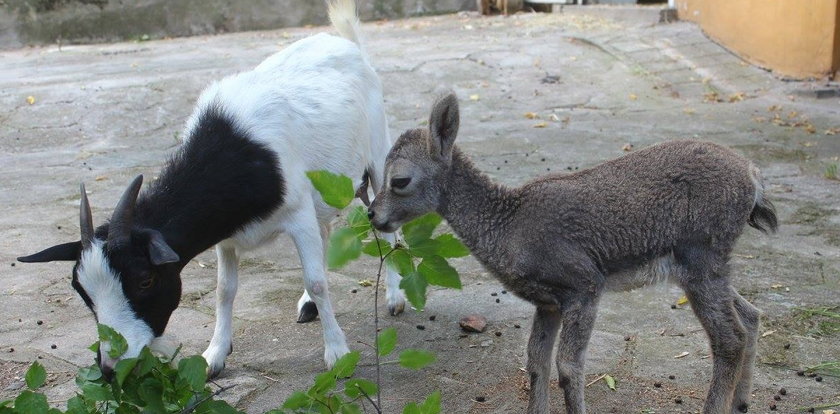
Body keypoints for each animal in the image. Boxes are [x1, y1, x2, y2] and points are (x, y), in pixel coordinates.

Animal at [15, 0, 404, 378]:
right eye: (82, 292)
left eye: (144, 280)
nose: (111, 368)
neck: (234, 151)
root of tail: (346, 43)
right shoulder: (227, 236)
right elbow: (224, 291)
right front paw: (215, 355)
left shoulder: (297, 214)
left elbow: (317, 281)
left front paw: (337, 353)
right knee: (325, 230)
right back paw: (308, 306)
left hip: (376, 151)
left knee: (383, 224)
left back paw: (395, 297)